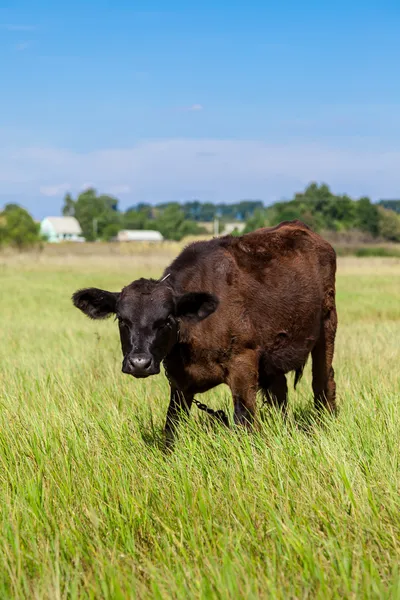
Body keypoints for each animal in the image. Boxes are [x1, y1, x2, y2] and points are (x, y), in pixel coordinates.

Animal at [72, 223, 338, 442]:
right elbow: (171, 428)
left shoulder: (243, 364)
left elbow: (244, 421)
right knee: (279, 392)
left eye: (167, 320)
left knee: (323, 382)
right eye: (122, 320)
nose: (139, 363)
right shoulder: (179, 382)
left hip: (327, 327)